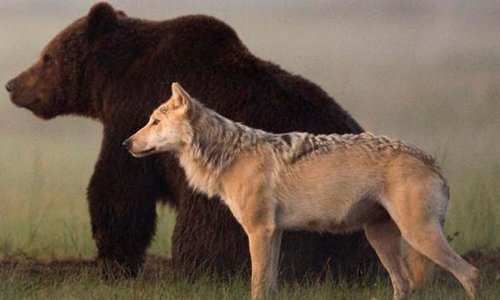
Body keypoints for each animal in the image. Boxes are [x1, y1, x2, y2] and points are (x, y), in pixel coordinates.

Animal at [4, 1, 378, 278]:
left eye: (47, 57)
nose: (12, 84)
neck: (114, 79)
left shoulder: (133, 113)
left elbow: (120, 187)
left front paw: (113, 259)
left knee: (207, 231)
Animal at [123, 82, 478, 300]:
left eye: (154, 122)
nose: (126, 143)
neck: (230, 155)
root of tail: (432, 161)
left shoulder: (260, 231)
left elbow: (257, 284)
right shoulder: (274, 232)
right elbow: (269, 285)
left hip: (418, 236)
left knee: (471, 274)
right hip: (381, 239)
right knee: (404, 285)